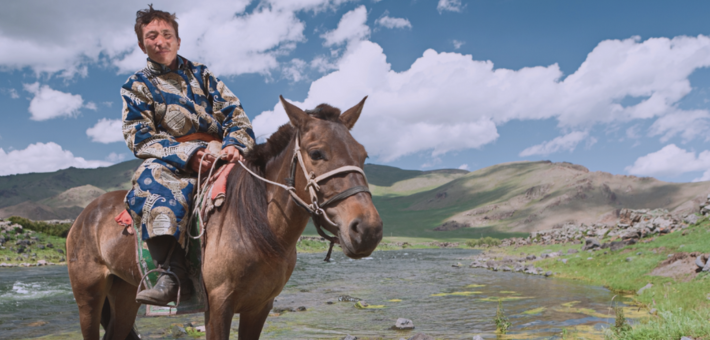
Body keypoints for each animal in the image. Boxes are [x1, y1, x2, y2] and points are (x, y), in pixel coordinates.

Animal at [68, 96, 384, 340]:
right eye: (316, 153)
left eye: (363, 155)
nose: (367, 229)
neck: (256, 227)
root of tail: (85, 215)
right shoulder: (218, 307)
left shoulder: (259, 307)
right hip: (88, 297)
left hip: (125, 294)